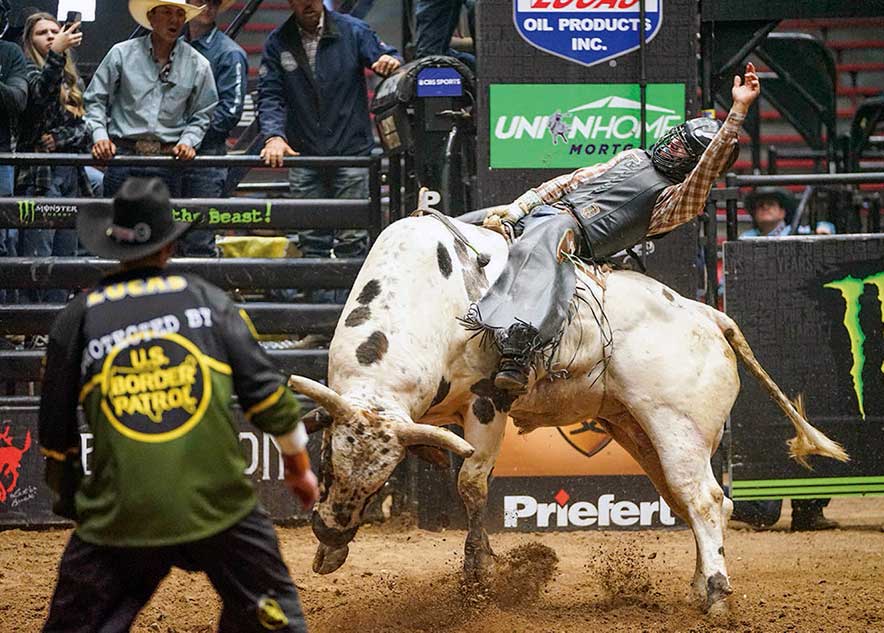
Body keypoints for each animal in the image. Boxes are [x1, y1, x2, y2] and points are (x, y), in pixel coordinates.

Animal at [286, 215, 848, 608]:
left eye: (384, 482)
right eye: (328, 462)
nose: (330, 530)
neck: (426, 298)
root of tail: (707, 313)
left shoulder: (486, 404)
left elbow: (472, 484)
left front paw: (480, 574)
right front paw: (330, 553)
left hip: (679, 427)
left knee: (706, 500)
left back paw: (714, 592)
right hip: (639, 431)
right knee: (694, 502)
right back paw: (697, 585)